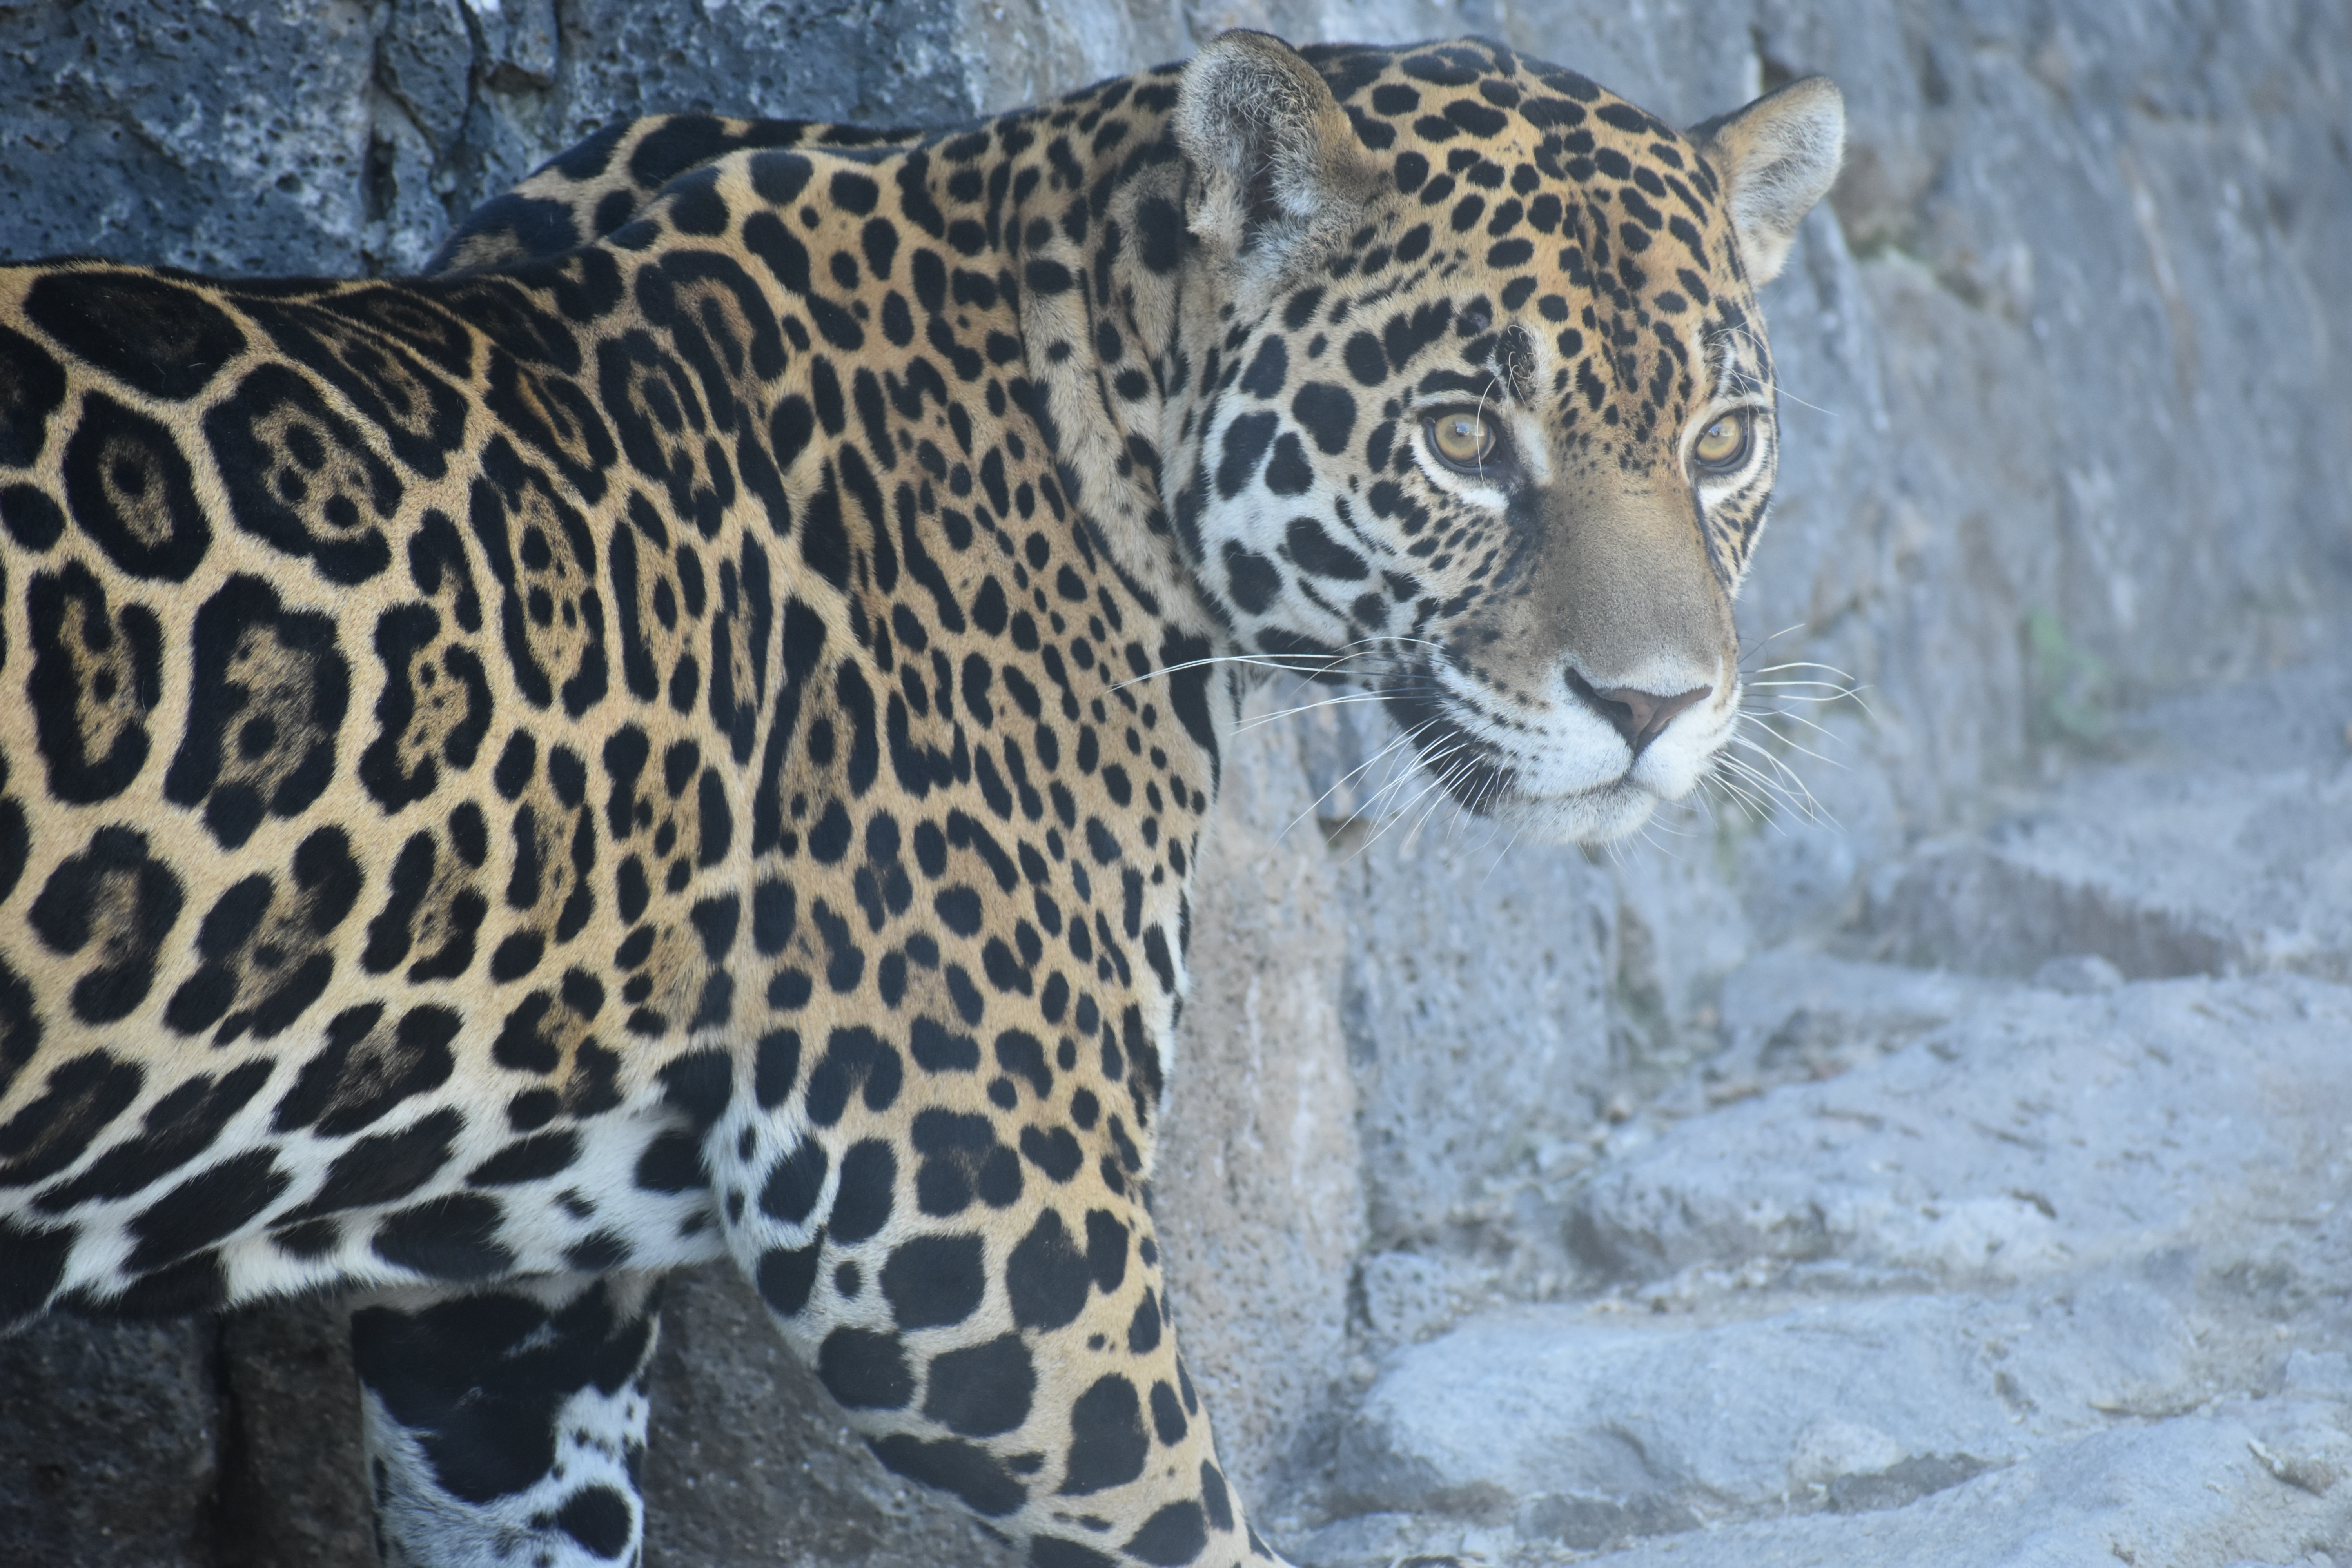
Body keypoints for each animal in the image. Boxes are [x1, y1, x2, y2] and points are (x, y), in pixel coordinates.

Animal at [0, 30, 1840, 1568]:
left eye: (1722, 441)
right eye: (1460, 438)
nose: (1654, 706)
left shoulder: (508, 1303)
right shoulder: (967, 1223)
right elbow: (1202, 1527)